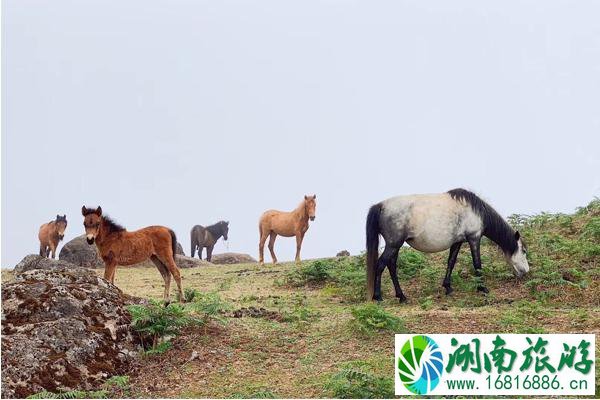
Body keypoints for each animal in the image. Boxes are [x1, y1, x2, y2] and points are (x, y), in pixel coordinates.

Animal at [366, 189, 528, 302]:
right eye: (524, 251)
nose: (526, 272)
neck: (475, 211)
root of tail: (381, 205)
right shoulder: (474, 238)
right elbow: (477, 264)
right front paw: (482, 288)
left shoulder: (457, 242)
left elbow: (451, 262)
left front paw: (448, 287)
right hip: (393, 245)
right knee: (380, 265)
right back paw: (378, 297)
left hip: (395, 246)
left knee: (391, 266)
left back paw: (401, 296)